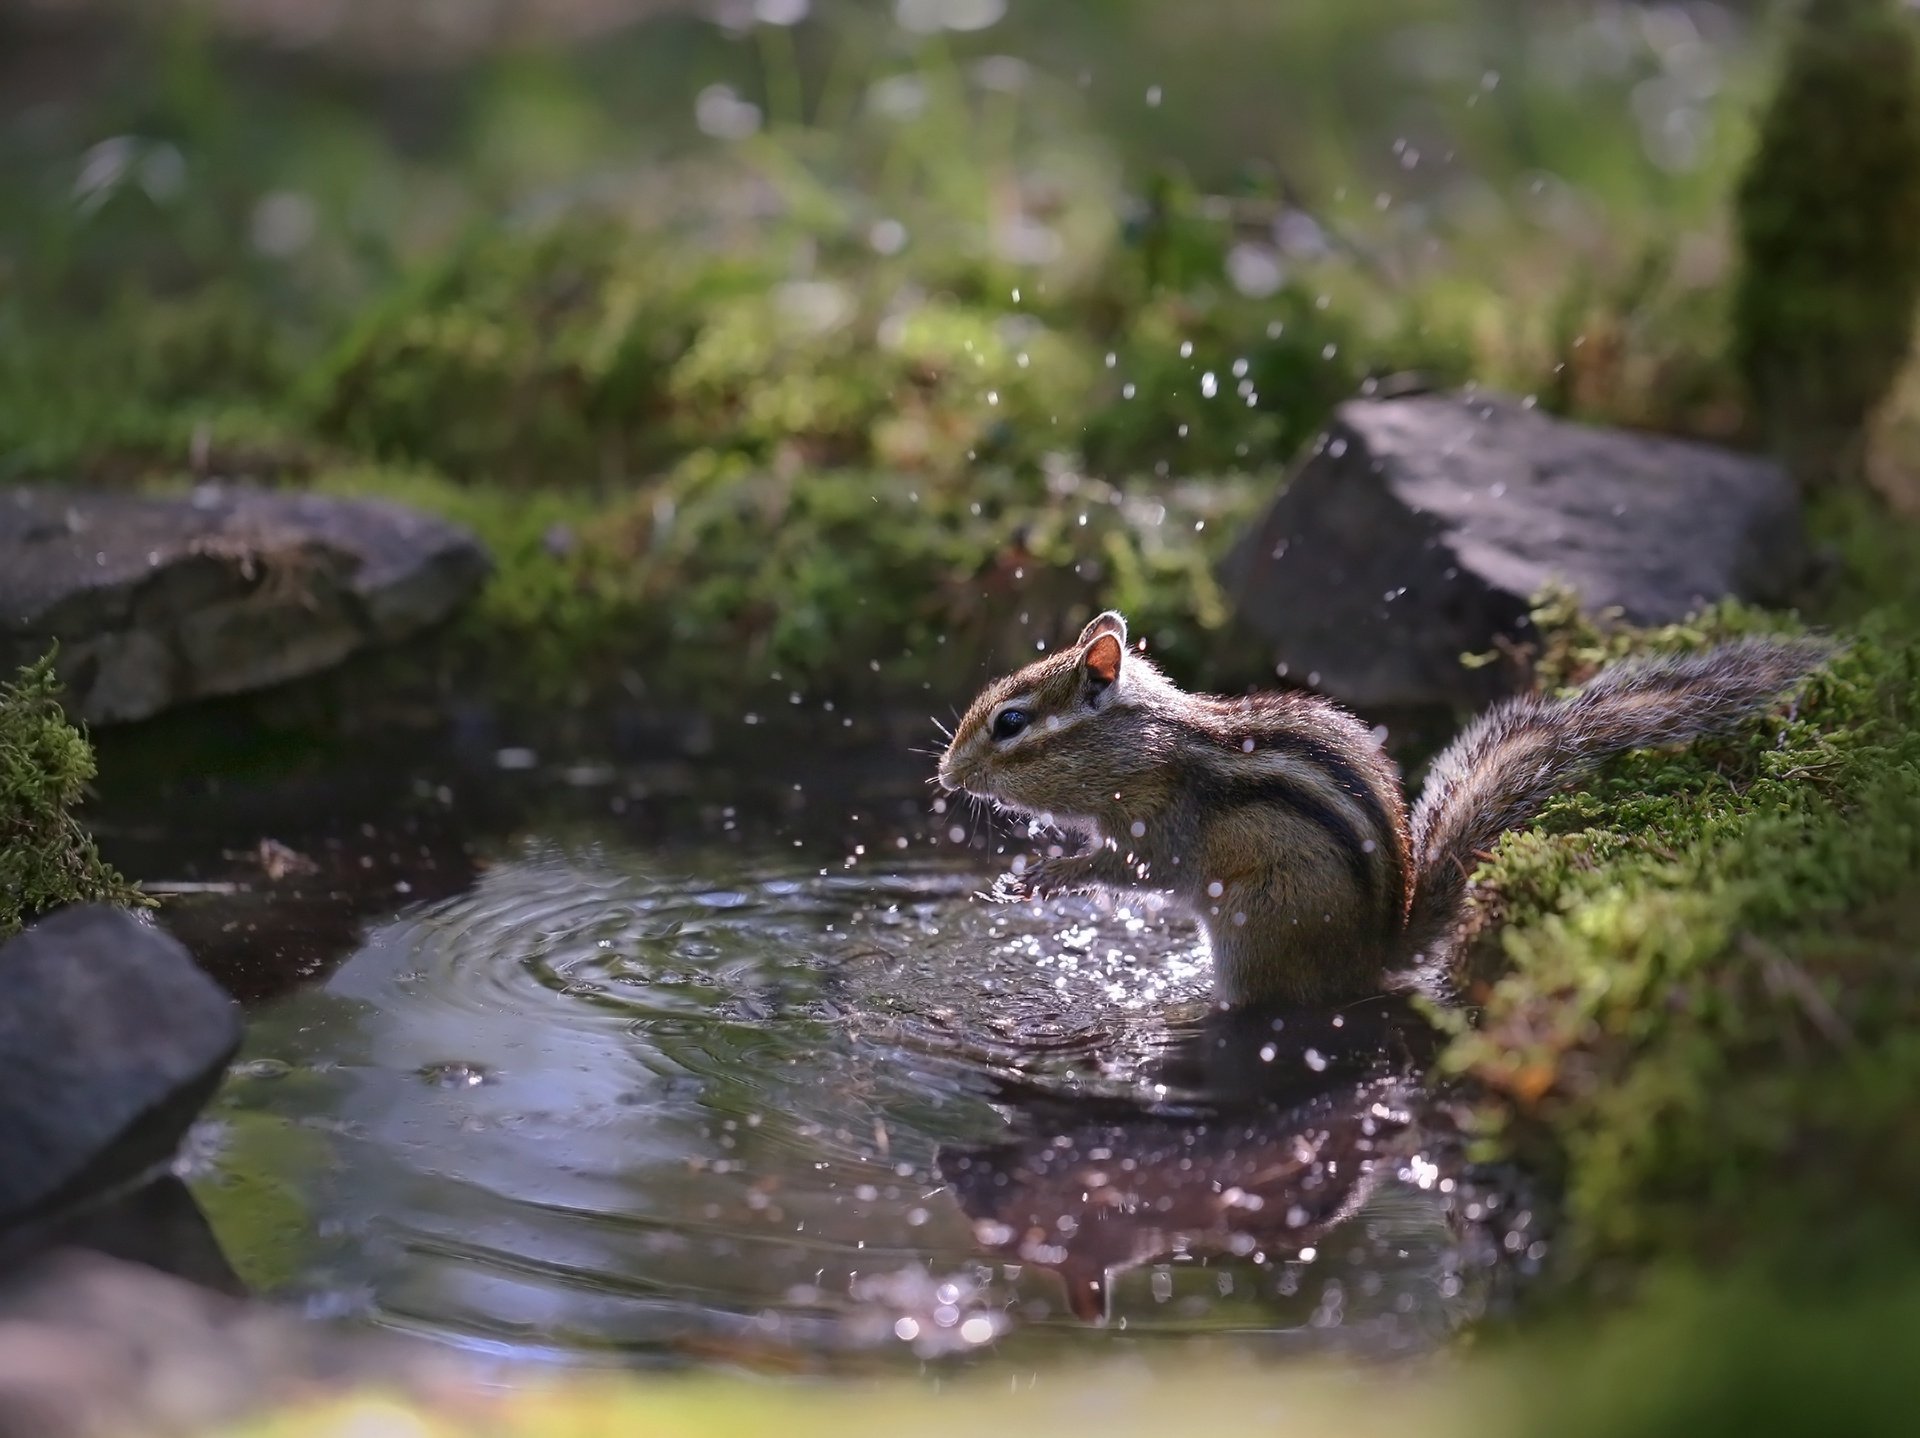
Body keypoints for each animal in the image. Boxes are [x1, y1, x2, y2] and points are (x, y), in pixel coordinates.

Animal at [936, 610, 1832, 1008]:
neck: (1146, 739)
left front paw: (1040, 877)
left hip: (1259, 940)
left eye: (1010, 723)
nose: (945, 777)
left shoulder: (1160, 824)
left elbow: (1130, 870)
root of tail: (1380, 954)